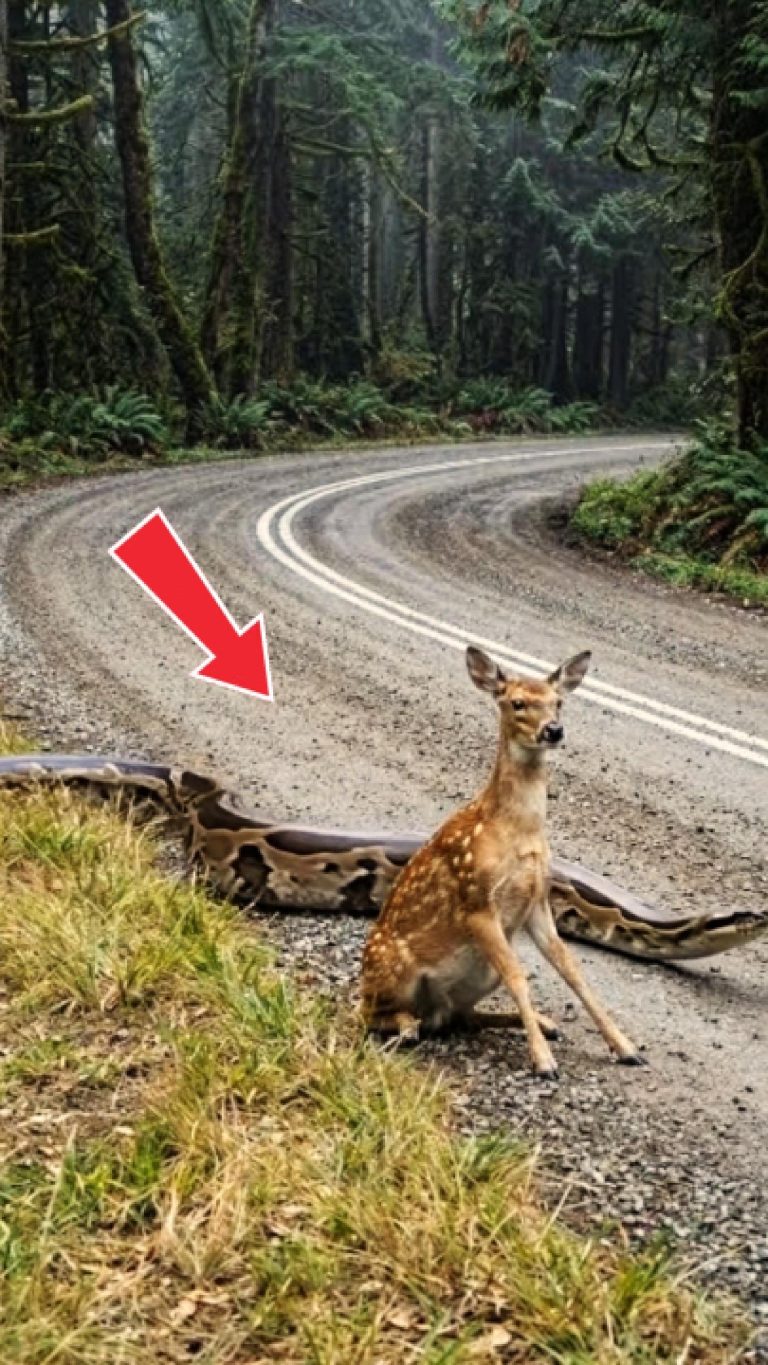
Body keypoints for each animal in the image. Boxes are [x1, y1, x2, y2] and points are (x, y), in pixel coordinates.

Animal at [360, 646, 646, 1078]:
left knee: (462, 1016)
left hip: (477, 976)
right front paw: (543, 1062)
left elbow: (571, 969)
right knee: (366, 1012)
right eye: (517, 703)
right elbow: (519, 975)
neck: (517, 832)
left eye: (558, 702)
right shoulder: (477, 899)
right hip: (390, 966)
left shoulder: (537, 900)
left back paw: (547, 1023)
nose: (553, 730)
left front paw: (626, 1047)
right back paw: (407, 1025)